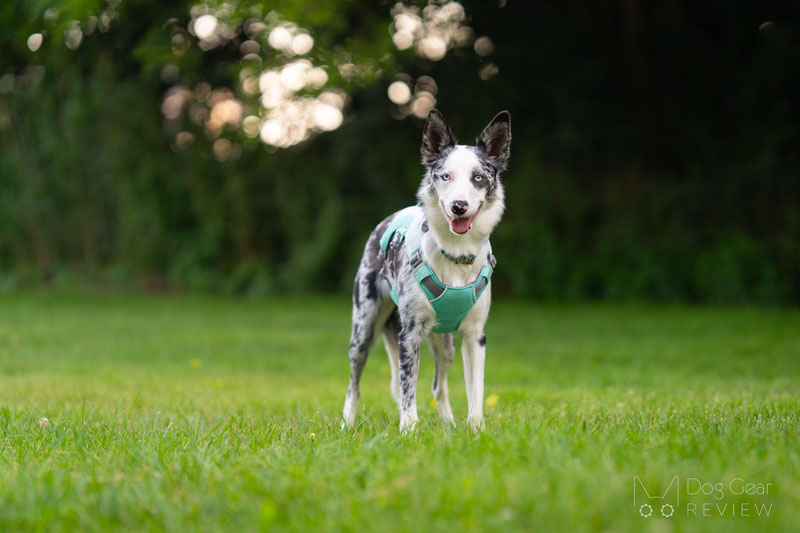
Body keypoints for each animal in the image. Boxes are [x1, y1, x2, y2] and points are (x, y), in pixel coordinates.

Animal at [340, 109, 510, 432]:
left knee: (438, 386)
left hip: (446, 345)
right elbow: (408, 390)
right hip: (362, 330)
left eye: (478, 177)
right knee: (354, 384)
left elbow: (476, 391)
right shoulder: (410, 333)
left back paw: (449, 424)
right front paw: (408, 429)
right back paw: (346, 423)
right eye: (445, 176)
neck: (455, 255)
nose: (459, 206)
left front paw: (476, 429)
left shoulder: (475, 336)